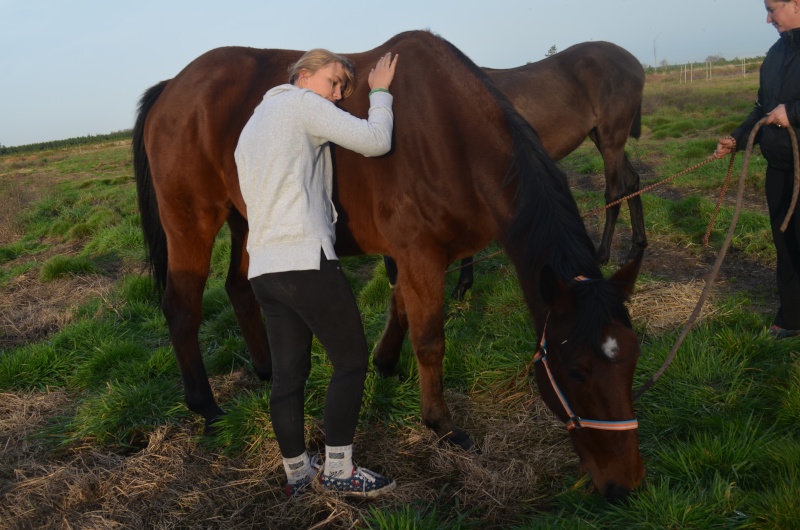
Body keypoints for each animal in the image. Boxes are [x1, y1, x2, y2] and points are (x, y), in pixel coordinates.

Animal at [390, 40, 648, 296]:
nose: (394, 284)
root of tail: (633, 62)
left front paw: (462, 285)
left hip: (611, 138)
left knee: (614, 193)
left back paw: (601, 256)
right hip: (602, 139)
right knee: (632, 182)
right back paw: (636, 248)